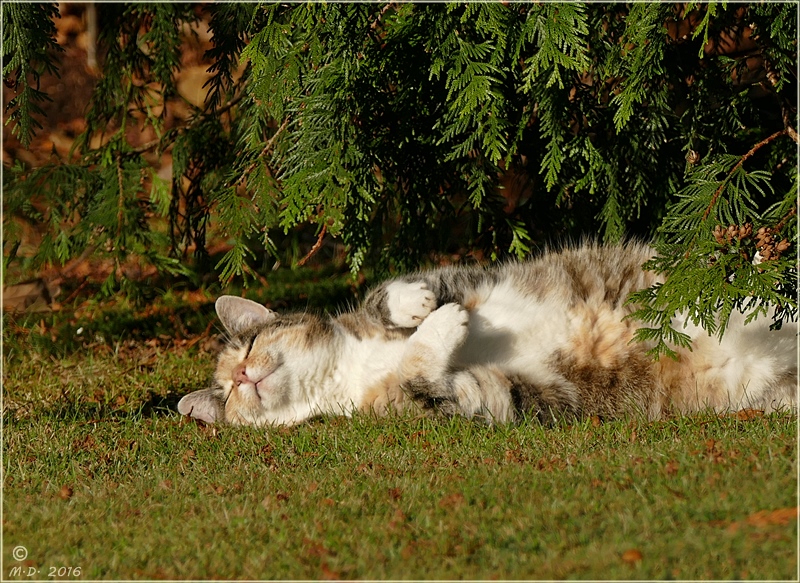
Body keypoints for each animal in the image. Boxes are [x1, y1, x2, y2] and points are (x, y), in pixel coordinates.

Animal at [178, 243, 796, 428]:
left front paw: (416, 305)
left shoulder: (462, 277)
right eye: (226, 397)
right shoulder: (457, 403)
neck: (354, 369)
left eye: (249, 346)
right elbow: (423, 375)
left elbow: (386, 293)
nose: (240, 375)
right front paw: (441, 325)